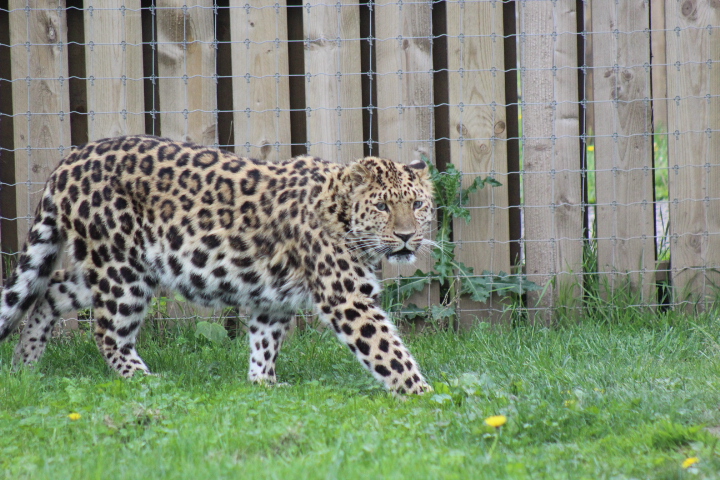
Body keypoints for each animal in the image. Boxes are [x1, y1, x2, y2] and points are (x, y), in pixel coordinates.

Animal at [0, 134, 434, 394]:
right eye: (382, 206)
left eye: (417, 204)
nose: (406, 236)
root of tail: (69, 160)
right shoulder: (346, 298)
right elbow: (387, 349)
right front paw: (422, 394)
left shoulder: (273, 298)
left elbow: (264, 342)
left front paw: (264, 385)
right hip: (122, 271)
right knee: (107, 331)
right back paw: (144, 379)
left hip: (108, 266)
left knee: (51, 290)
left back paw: (25, 366)